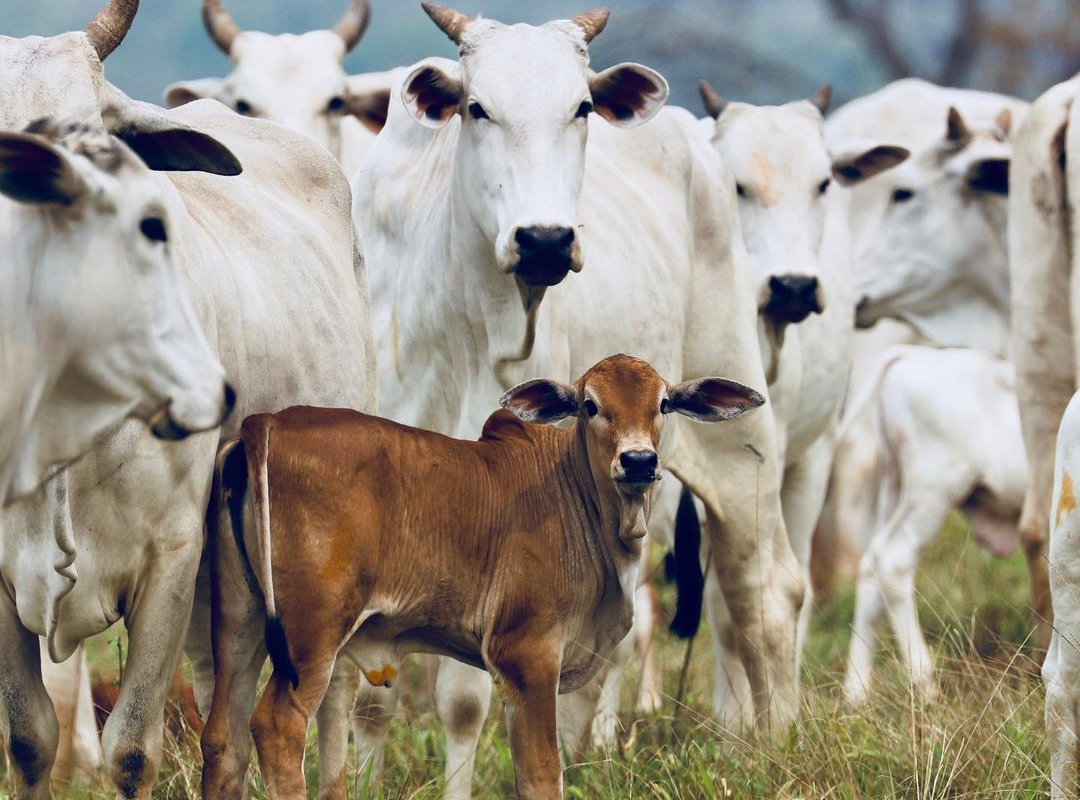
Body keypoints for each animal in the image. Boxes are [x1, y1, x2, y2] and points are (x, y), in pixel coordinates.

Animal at [200, 356, 760, 798]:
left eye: (663, 404)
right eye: (589, 404)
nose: (639, 460)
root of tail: (268, 422)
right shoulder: (526, 655)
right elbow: (541, 775)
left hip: (241, 620)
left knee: (223, 739)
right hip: (312, 634)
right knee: (277, 728)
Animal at [324, 3, 799, 794]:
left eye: (580, 107)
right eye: (477, 107)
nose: (544, 239)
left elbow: (463, 697)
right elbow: (371, 695)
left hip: (740, 444)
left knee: (766, 590)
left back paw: (771, 746)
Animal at [838, 345, 1023, 703]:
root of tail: (912, 354)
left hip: (894, 488)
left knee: (870, 571)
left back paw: (856, 693)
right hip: (932, 490)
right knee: (893, 560)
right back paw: (925, 684)